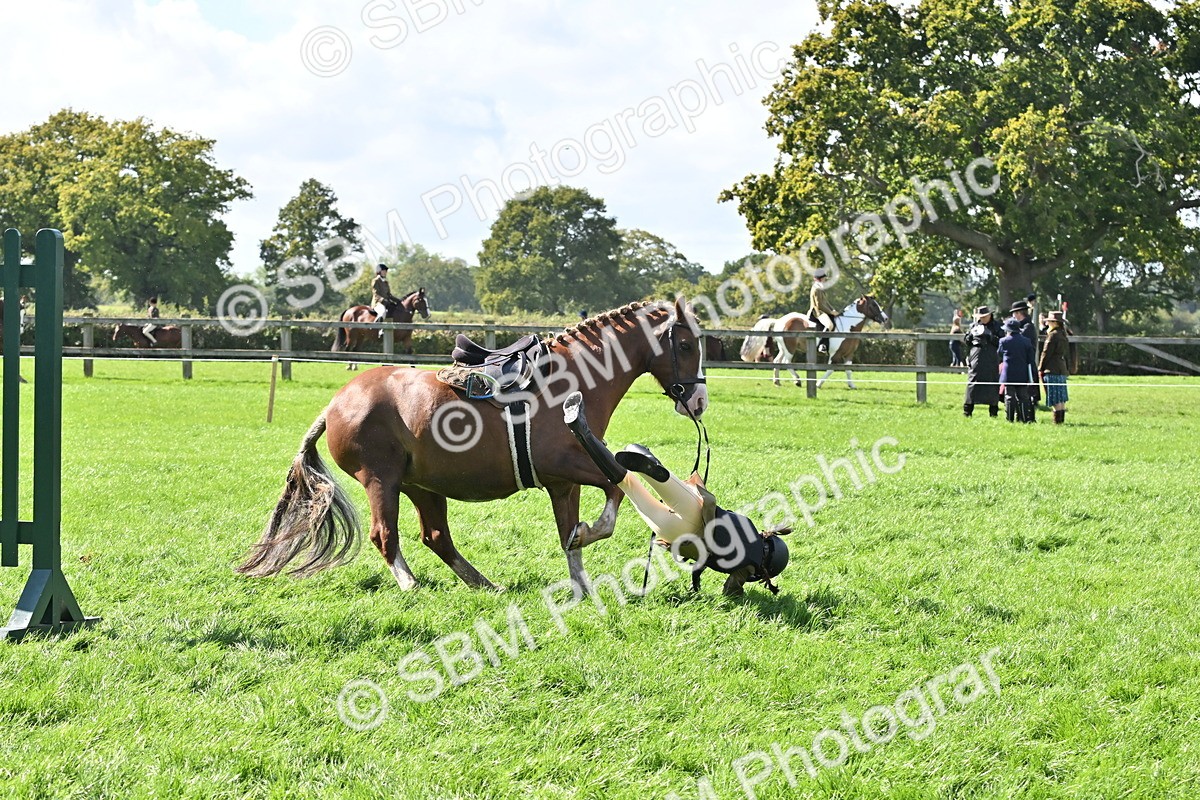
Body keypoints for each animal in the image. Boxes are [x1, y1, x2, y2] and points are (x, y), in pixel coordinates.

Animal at [236, 298, 707, 594]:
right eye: (685, 344)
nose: (699, 399)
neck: (572, 380)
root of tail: (336, 402)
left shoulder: (564, 482)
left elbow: (570, 534)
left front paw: (581, 583)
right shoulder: (566, 466)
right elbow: (615, 488)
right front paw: (590, 534)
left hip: (422, 487)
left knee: (436, 537)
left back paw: (483, 583)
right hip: (381, 481)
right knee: (385, 534)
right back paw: (410, 584)